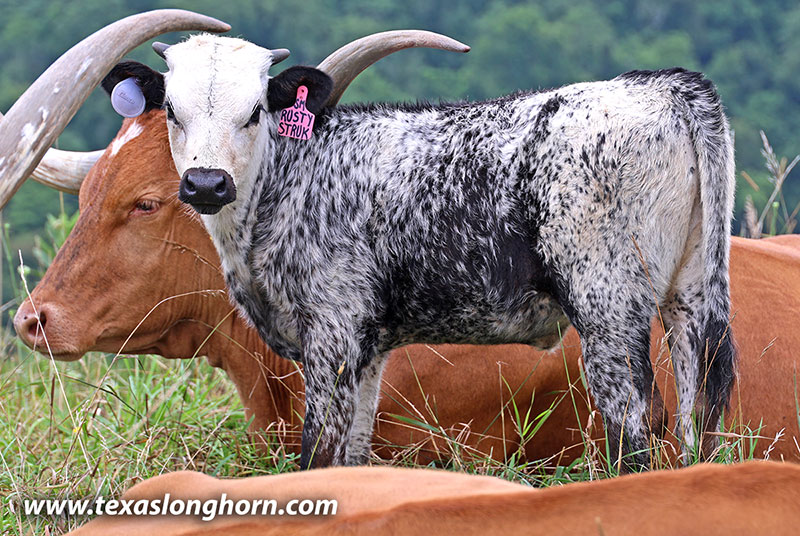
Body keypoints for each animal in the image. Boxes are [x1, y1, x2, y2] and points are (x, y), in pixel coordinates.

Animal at [112, 34, 736, 470]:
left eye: (254, 112)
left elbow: (318, 451)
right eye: (172, 111)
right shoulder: (368, 349)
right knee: (698, 411)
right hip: (690, 293)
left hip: (605, 300)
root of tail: (663, 85)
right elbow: (354, 451)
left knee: (633, 415)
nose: (206, 183)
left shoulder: (334, 332)